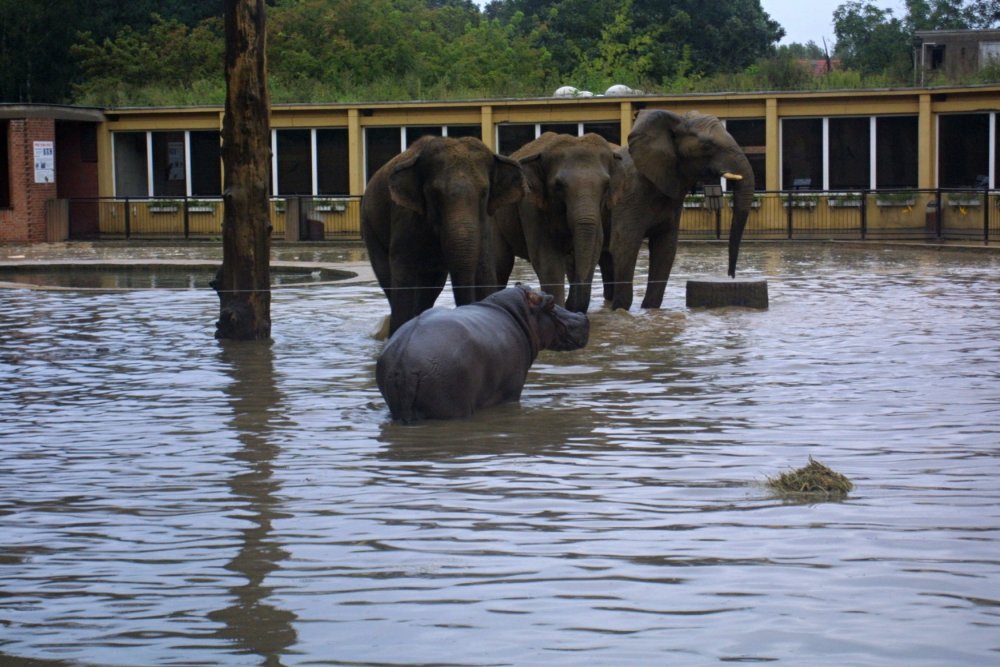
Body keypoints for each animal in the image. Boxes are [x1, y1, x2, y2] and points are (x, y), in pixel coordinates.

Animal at [362, 136, 532, 336]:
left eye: (484, 193)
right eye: (434, 194)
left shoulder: (485, 224)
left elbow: (484, 269)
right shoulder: (405, 218)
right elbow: (405, 275)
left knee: (431, 286)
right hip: (370, 229)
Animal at [378, 284, 588, 422]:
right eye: (550, 303)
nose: (582, 316)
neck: (516, 313)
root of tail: (402, 362)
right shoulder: (512, 392)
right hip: (452, 406)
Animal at [492, 134, 624, 318]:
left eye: (606, 185)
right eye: (559, 185)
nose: (570, 307)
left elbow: (594, 249)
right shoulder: (531, 206)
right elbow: (547, 260)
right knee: (501, 264)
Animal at [608, 111, 756, 312]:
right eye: (707, 146)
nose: (731, 275)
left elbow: (666, 249)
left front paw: (650, 310)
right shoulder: (628, 196)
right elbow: (624, 245)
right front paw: (620, 311)